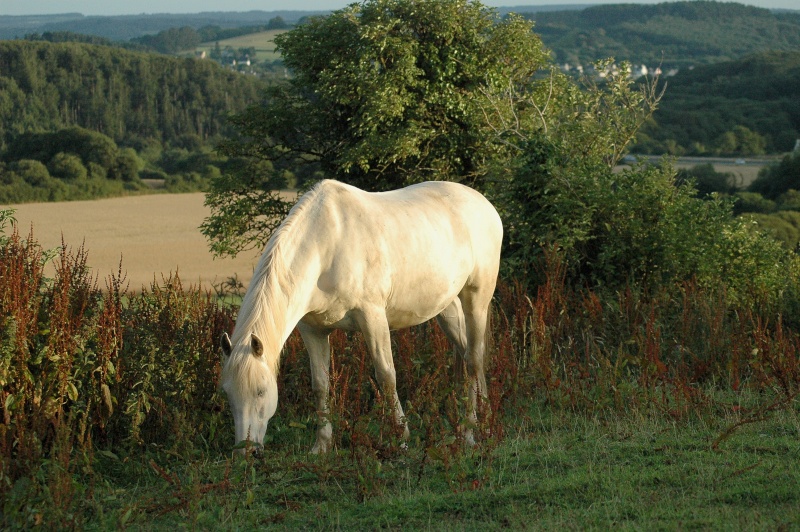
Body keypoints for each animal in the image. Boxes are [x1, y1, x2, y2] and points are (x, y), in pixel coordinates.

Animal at [219, 179, 504, 454]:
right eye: (228, 394)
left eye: (260, 391)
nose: (246, 451)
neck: (325, 247)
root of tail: (485, 205)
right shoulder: (313, 330)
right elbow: (320, 384)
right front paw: (322, 445)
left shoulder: (372, 316)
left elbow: (386, 375)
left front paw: (400, 438)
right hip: (447, 309)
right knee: (469, 355)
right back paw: (484, 422)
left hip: (476, 300)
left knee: (473, 360)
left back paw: (470, 433)